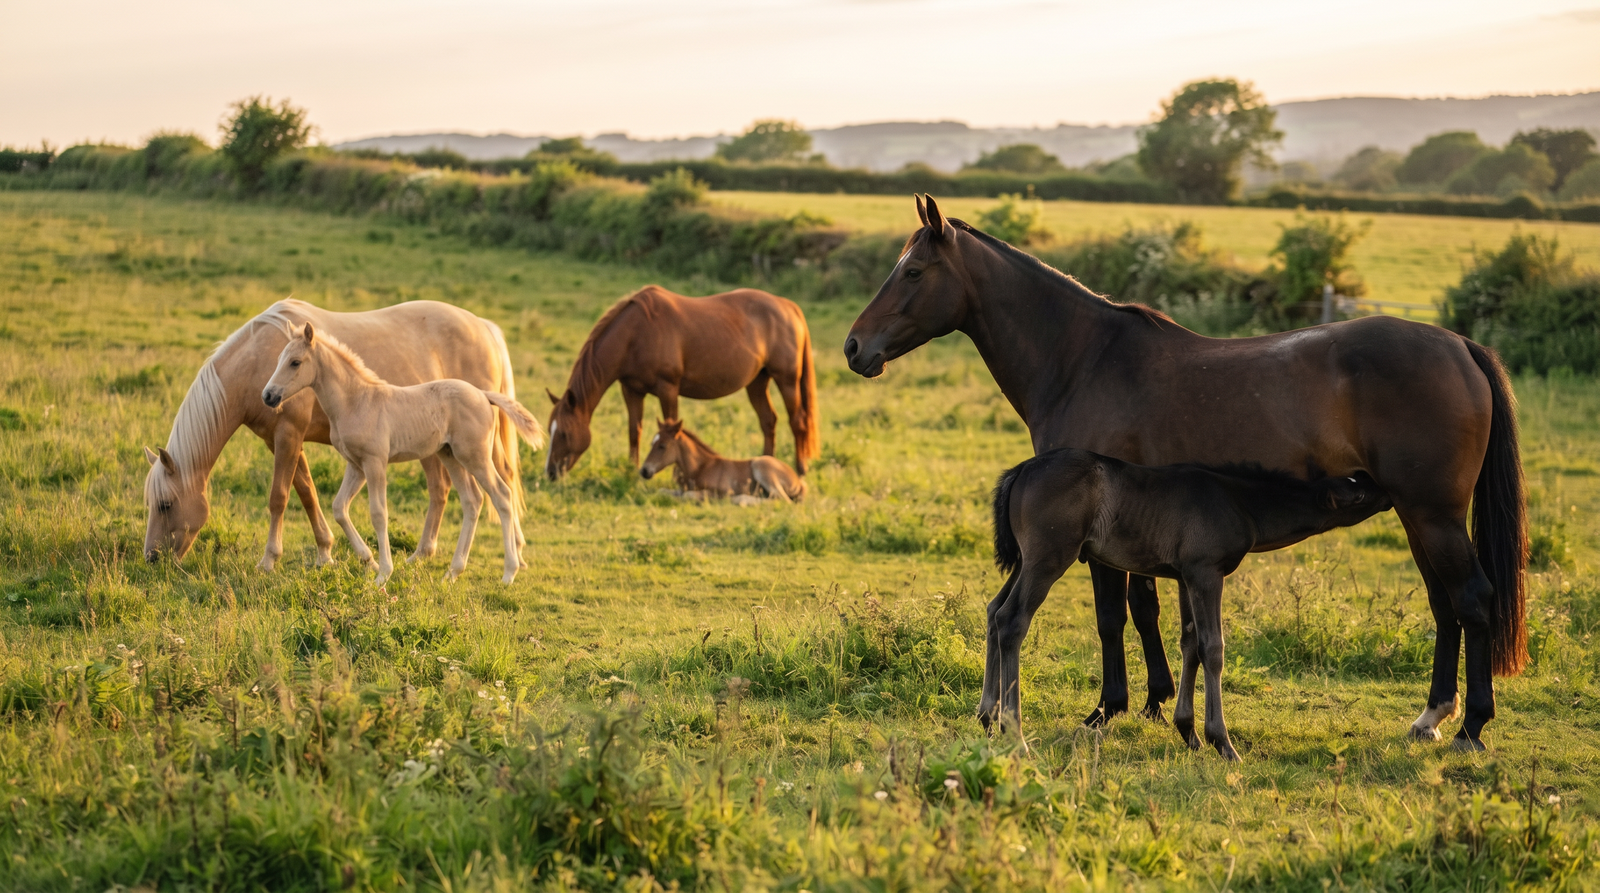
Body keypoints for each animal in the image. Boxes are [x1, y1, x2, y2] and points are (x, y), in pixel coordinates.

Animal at [143, 298, 524, 571]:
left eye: (165, 504)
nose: (152, 558)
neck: (253, 364)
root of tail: (484, 326)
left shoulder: (288, 435)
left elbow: (279, 497)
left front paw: (269, 559)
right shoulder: (280, 441)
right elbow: (308, 493)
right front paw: (327, 553)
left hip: (472, 448)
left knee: (500, 482)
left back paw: (514, 555)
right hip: (439, 449)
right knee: (445, 489)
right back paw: (425, 554)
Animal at [262, 323, 545, 585]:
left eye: (295, 362)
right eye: (278, 360)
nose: (268, 395)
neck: (357, 402)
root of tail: (483, 395)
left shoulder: (375, 462)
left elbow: (378, 514)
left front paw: (383, 574)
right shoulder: (356, 465)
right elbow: (339, 507)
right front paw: (369, 561)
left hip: (475, 456)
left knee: (502, 496)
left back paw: (509, 572)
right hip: (450, 455)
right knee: (472, 501)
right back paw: (452, 572)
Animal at [544, 285, 819, 480]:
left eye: (565, 433)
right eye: (550, 430)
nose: (550, 472)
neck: (635, 334)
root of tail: (788, 306)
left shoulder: (668, 389)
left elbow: (672, 429)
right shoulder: (631, 390)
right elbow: (634, 430)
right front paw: (632, 469)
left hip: (787, 380)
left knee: (797, 421)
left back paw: (801, 468)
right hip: (757, 382)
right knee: (768, 421)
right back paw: (767, 461)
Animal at [639, 419, 807, 502]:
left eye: (662, 446)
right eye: (652, 443)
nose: (644, 470)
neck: (701, 467)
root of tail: (798, 481)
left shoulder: (721, 491)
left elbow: (690, 496)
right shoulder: (682, 489)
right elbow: (663, 492)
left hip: (761, 466)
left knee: (783, 500)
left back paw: (742, 499)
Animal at [987, 450, 1392, 759]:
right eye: (1357, 494)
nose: (1385, 489)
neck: (1238, 501)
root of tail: (1021, 470)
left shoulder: (1185, 577)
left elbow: (1189, 643)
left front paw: (1189, 734)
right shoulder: (1206, 573)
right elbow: (1212, 648)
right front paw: (1222, 742)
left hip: (1024, 561)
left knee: (993, 611)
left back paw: (987, 718)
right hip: (1048, 559)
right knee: (1012, 619)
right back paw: (1015, 733)